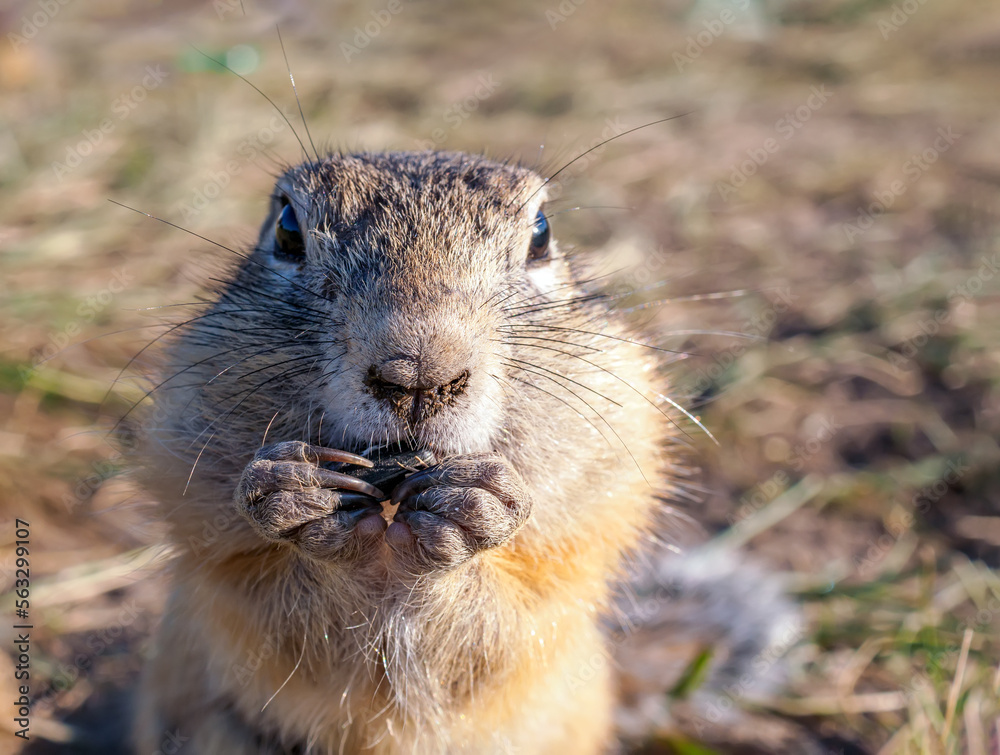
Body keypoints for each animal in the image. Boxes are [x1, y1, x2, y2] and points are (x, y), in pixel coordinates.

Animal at [129, 151, 776, 752]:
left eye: (541, 234)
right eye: (287, 227)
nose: (420, 377)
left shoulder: (569, 558)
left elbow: (494, 632)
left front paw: (472, 510)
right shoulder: (214, 549)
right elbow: (280, 612)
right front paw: (299, 494)